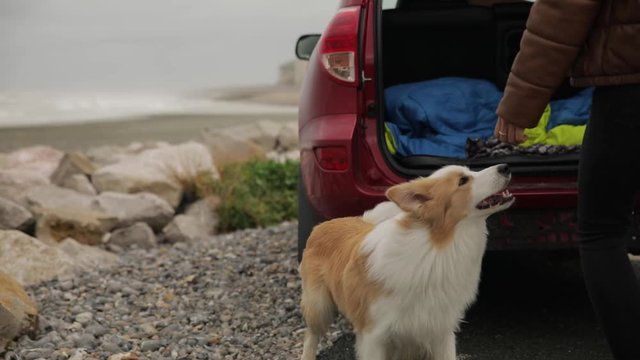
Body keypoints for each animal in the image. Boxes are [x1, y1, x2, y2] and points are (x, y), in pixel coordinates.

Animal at [300, 165, 516, 358]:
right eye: (462, 181)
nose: (505, 167)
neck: (435, 249)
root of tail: (325, 224)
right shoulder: (374, 337)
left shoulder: (441, 332)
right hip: (319, 307)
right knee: (311, 335)